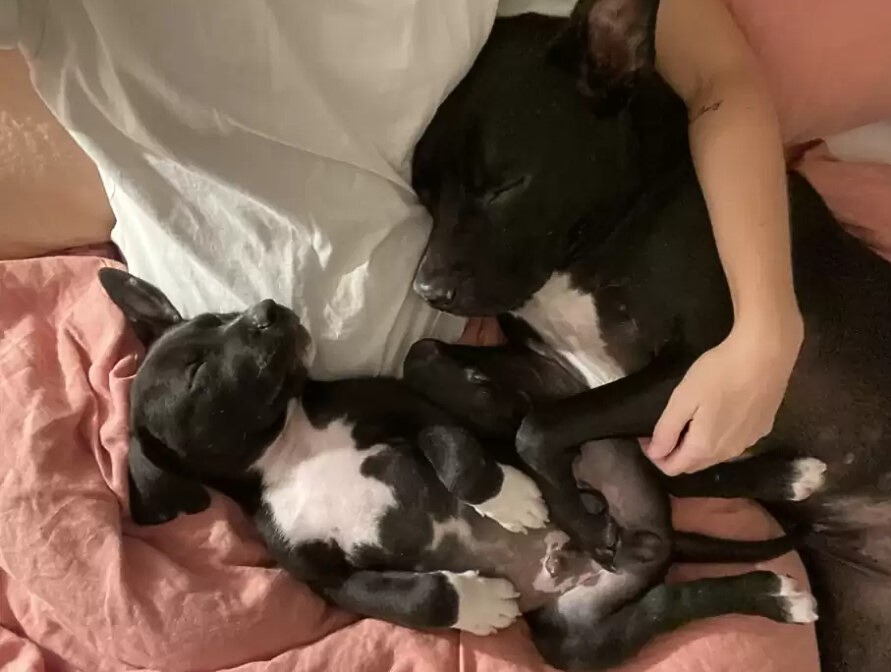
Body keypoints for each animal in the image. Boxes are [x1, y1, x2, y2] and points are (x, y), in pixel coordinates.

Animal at [101, 270, 820, 672]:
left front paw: (507, 499)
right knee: (672, 599)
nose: (268, 310)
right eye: (197, 373)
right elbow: (413, 597)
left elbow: (450, 442)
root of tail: (654, 543)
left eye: (218, 318)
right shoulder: (325, 578)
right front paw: (473, 604)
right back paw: (769, 591)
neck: (290, 446)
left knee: (634, 463)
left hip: (586, 434)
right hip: (575, 641)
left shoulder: (398, 406)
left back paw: (787, 488)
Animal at [410, 5, 891, 672]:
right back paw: (788, 478)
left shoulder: (699, 376)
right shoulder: (562, 369)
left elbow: (539, 429)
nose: (427, 291)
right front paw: (484, 400)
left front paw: (584, 525)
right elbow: (425, 357)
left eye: (504, 186)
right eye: (423, 192)